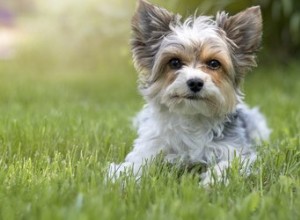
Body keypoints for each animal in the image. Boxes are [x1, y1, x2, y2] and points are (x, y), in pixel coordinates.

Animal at [107, 0, 270, 186]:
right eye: (175, 62)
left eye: (214, 63)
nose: (195, 82)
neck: (192, 117)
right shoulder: (150, 147)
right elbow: (136, 164)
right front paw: (121, 177)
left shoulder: (237, 152)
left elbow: (228, 165)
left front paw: (211, 182)